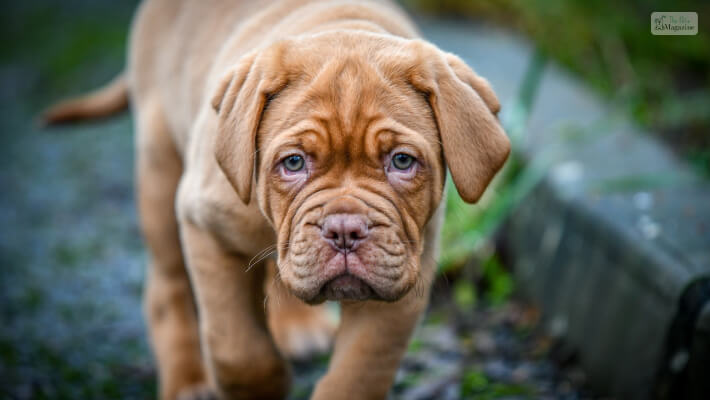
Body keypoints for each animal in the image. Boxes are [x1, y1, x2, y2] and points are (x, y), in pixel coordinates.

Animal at [43, 0, 512, 400]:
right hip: (160, 169)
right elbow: (238, 349)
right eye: (293, 162)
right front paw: (260, 383)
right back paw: (187, 381)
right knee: (169, 284)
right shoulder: (206, 230)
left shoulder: (401, 280)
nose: (345, 230)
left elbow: (359, 372)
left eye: (401, 161)